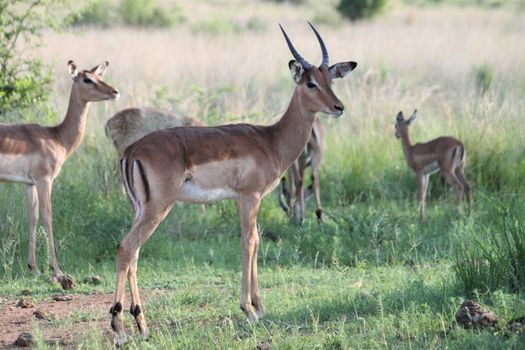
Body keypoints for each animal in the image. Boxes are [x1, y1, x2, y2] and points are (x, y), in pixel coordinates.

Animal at [0, 60, 117, 288]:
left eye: (99, 76)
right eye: (87, 79)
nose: (114, 92)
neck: (57, 137)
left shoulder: (29, 184)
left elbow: (33, 217)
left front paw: (34, 268)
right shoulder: (45, 180)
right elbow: (48, 217)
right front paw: (57, 270)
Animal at [110, 23, 356, 346]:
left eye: (331, 79)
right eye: (310, 83)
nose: (339, 107)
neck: (271, 140)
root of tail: (132, 151)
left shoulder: (246, 199)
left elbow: (257, 241)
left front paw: (260, 307)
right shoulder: (250, 196)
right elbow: (248, 242)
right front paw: (249, 310)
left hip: (140, 209)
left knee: (134, 253)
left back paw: (141, 324)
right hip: (158, 208)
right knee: (126, 248)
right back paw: (119, 328)